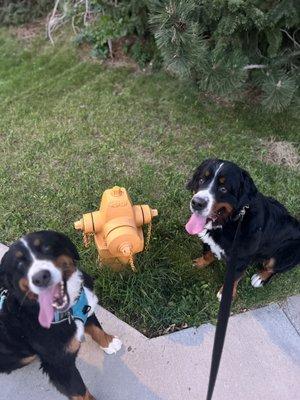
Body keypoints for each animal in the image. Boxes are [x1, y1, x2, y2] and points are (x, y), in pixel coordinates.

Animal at [0, 231, 122, 400]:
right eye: (19, 264)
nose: (40, 277)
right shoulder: (60, 366)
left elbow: (95, 326)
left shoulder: (83, 307)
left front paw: (109, 342)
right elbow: (80, 391)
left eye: (46, 247)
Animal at [186, 158, 298, 298]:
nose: (197, 203)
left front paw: (224, 294)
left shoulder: (240, 259)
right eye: (201, 180)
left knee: (272, 268)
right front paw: (200, 263)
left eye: (223, 189)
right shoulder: (208, 241)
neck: (231, 222)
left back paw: (260, 277)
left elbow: (233, 278)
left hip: (288, 252)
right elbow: (207, 253)